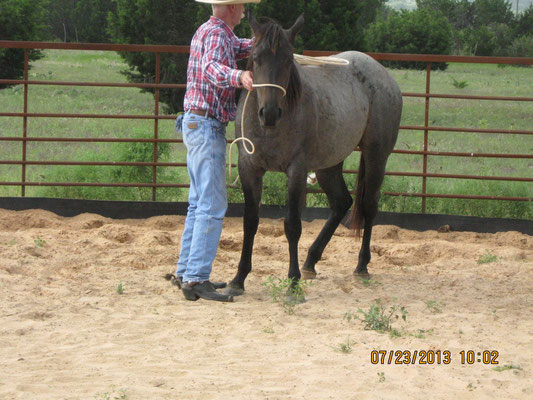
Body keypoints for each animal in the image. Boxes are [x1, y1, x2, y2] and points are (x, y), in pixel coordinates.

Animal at [222, 13, 402, 296]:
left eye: (288, 59)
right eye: (257, 57)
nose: (269, 113)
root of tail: (383, 74)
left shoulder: (296, 170)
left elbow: (293, 226)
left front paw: (293, 282)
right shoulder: (249, 168)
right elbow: (250, 222)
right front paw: (238, 279)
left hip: (376, 156)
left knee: (369, 206)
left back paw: (361, 266)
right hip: (329, 164)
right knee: (341, 202)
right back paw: (310, 261)